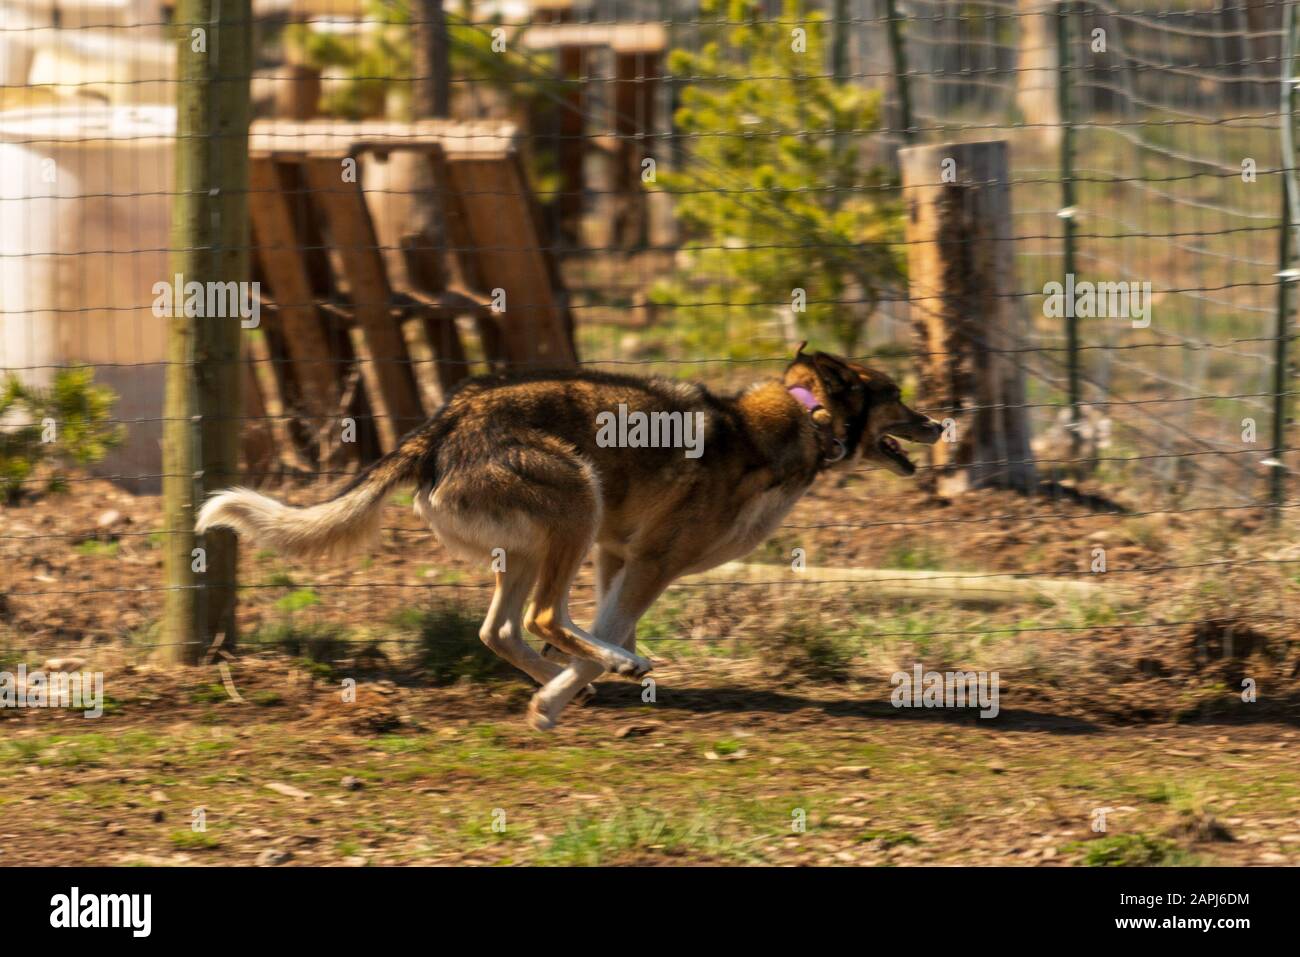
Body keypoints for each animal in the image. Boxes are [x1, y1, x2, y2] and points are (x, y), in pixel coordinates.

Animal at [197, 348, 941, 728]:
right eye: (895, 392)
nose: (940, 424)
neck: (799, 419)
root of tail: (441, 425)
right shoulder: (650, 560)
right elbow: (605, 630)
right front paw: (577, 686)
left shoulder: (619, 556)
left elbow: (607, 624)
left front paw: (570, 685)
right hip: (577, 505)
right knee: (542, 617)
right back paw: (596, 668)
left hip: (539, 545)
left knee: (503, 629)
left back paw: (570, 672)